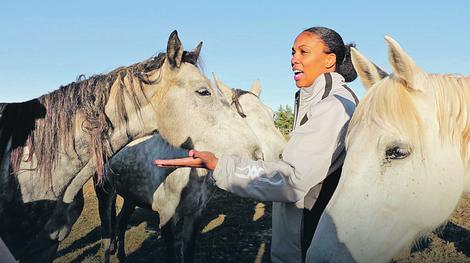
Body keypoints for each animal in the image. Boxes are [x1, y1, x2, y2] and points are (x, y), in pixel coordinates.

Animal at [95, 77, 286, 262]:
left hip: (130, 196)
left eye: (272, 114)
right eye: (243, 115)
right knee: (107, 236)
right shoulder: (167, 218)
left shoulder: (195, 215)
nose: (281, 156)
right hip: (105, 193)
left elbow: (188, 252)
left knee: (121, 223)